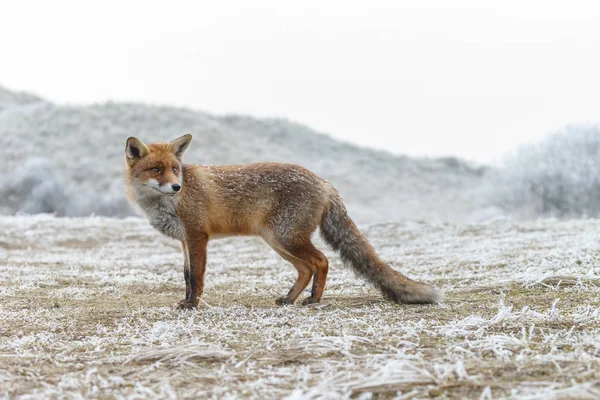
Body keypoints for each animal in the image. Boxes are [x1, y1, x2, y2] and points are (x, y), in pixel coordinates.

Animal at [125, 134, 440, 310]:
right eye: (156, 169)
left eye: (175, 169)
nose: (176, 186)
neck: (166, 204)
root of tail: (324, 182)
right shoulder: (185, 241)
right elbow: (187, 275)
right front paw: (188, 300)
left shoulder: (197, 236)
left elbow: (197, 277)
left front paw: (192, 305)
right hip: (277, 241)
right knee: (306, 269)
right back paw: (290, 299)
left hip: (285, 237)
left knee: (321, 261)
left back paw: (314, 299)